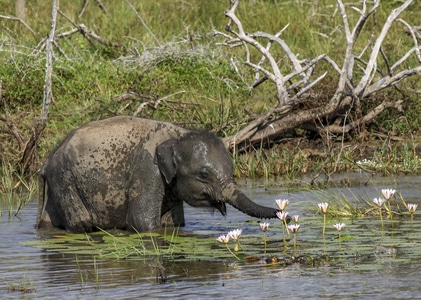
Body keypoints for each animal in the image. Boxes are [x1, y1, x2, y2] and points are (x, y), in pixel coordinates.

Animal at [36, 116, 282, 233]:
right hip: (65, 182)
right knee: (81, 223)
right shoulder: (147, 170)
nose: (284, 215)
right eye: (204, 174)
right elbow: (142, 223)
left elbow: (173, 224)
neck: (177, 135)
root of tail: (46, 162)